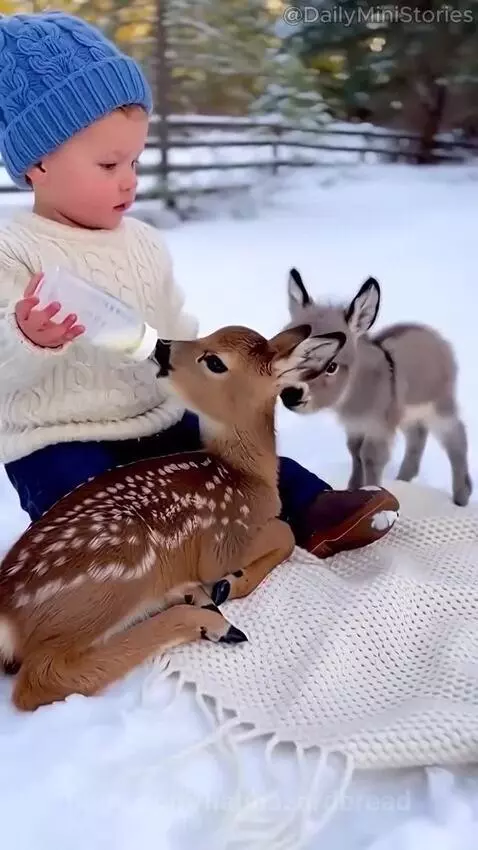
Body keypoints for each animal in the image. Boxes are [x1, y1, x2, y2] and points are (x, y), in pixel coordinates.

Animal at [0, 323, 345, 712]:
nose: (161, 346)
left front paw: (222, 586)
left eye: (214, 360)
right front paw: (230, 583)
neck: (250, 478)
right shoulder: (222, 541)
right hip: (116, 578)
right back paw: (211, 622)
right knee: (39, 681)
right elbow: (284, 532)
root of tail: (7, 613)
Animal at [279, 268, 472, 507]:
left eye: (331, 366)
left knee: (456, 437)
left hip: (438, 404)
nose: (290, 395)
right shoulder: (356, 426)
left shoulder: (379, 426)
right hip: (407, 412)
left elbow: (371, 458)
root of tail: (432, 333)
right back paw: (404, 479)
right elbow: (355, 454)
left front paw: (373, 492)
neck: (356, 390)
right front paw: (353, 490)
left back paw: (461, 495)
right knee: (418, 434)